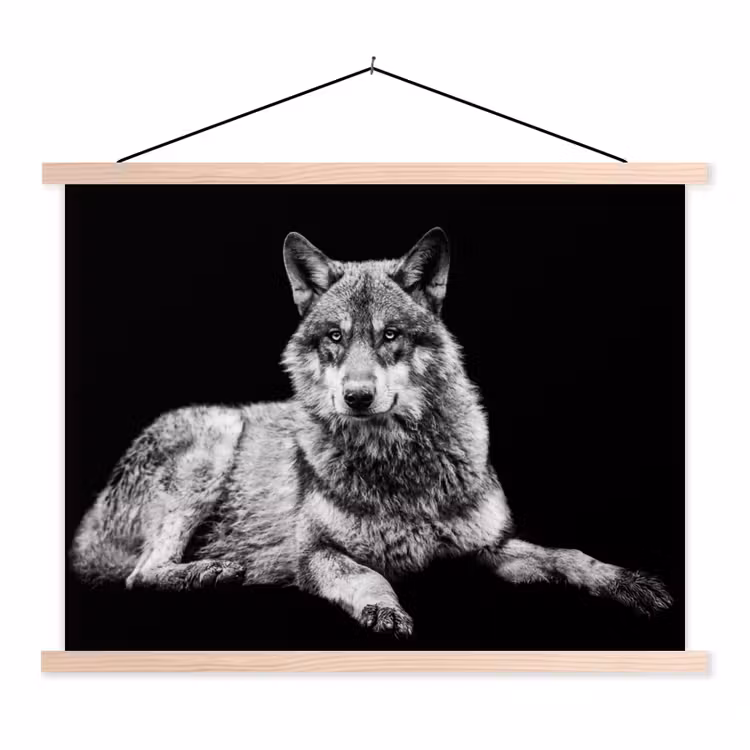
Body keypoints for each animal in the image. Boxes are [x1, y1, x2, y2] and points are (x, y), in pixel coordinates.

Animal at [71, 227, 672, 637]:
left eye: (390, 335)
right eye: (335, 337)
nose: (357, 396)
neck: (399, 467)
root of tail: (88, 522)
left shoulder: (490, 547)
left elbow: (569, 555)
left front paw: (629, 583)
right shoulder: (315, 555)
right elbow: (368, 576)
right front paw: (384, 610)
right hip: (213, 444)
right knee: (139, 575)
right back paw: (211, 572)